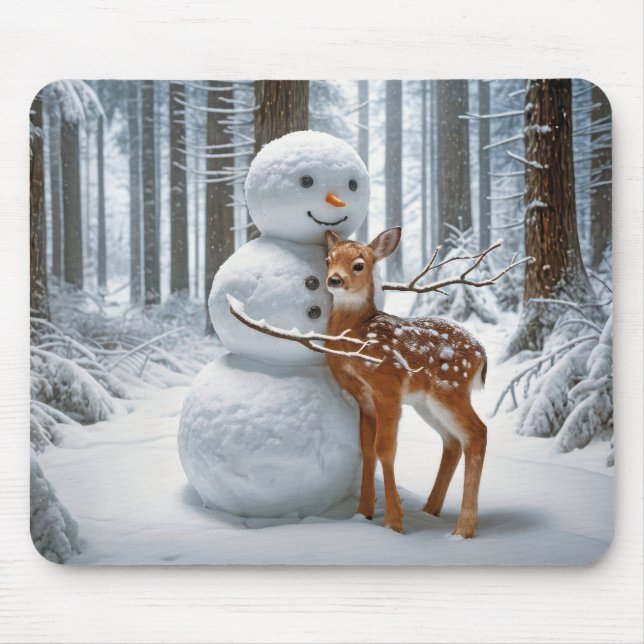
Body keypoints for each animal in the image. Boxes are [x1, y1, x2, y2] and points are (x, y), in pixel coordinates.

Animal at [323, 227, 488, 538]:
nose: (334, 279)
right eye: (328, 259)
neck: (356, 333)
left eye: (359, 264)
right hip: (428, 402)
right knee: (452, 442)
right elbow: (366, 449)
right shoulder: (363, 397)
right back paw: (430, 511)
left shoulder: (387, 386)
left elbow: (385, 449)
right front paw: (363, 514)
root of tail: (482, 354)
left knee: (477, 433)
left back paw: (463, 529)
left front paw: (393, 522)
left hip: (450, 388)